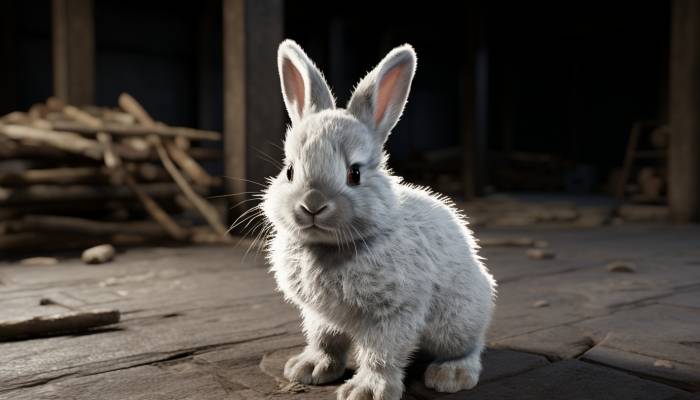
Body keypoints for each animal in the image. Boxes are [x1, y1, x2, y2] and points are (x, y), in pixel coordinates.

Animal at [262, 38, 498, 400]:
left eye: (354, 174)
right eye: (289, 171)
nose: (312, 204)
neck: (328, 248)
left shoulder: (394, 313)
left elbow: (381, 353)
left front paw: (366, 391)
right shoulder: (320, 316)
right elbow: (325, 341)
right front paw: (309, 368)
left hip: (456, 323)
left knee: (469, 346)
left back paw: (451, 375)